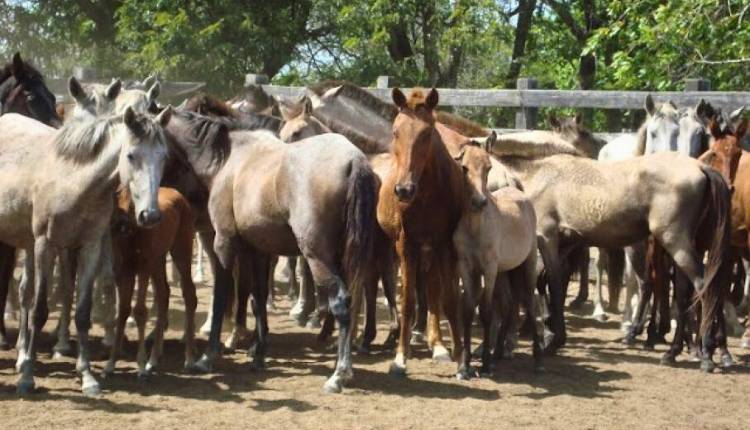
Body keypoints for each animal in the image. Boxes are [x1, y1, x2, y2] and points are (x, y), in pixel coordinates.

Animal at [0, 82, 171, 395]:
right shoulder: (46, 245)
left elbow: (81, 311)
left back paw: (21, 354)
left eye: (163, 156)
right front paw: (28, 376)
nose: (150, 215)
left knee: (25, 291)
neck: (73, 180)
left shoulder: (89, 246)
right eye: (131, 155)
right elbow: (40, 310)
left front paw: (87, 376)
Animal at [103, 187, 197, 378]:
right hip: (158, 260)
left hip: (181, 251)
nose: (122, 222)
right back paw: (153, 359)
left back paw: (189, 359)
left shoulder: (143, 269)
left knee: (189, 294)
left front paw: (140, 366)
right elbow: (122, 311)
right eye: (115, 193)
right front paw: (111, 363)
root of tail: (178, 195)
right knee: (163, 295)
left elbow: (140, 311)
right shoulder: (123, 272)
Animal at [377, 88, 464, 376]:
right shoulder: (406, 245)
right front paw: (400, 357)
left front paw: (458, 357)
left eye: (427, 133)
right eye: (395, 131)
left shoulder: (443, 245)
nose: (404, 190)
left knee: (433, 290)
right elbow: (408, 300)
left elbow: (447, 298)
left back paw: (437, 344)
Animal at [453, 142, 542, 379]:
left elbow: (486, 311)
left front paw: (484, 364)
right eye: (464, 167)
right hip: (504, 272)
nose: (479, 202)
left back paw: (538, 360)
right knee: (509, 304)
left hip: (526, 265)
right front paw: (464, 367)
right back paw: (499, 353)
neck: (476, 228)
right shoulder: (467, 268)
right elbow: (467, 309)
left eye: (488, 167)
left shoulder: (489, 269)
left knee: (529, 303)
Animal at [491, 132, 732, 371]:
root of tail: (700, 167)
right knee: (684, 293)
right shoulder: (566, 244)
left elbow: (555, 285)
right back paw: (674, 352)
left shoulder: (548, 239)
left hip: (675, 243)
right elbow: (546, 282)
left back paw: (706, 354)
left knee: (704, 287)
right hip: (684, 247)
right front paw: (551, 331)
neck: (541, 173)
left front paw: (554, 340)